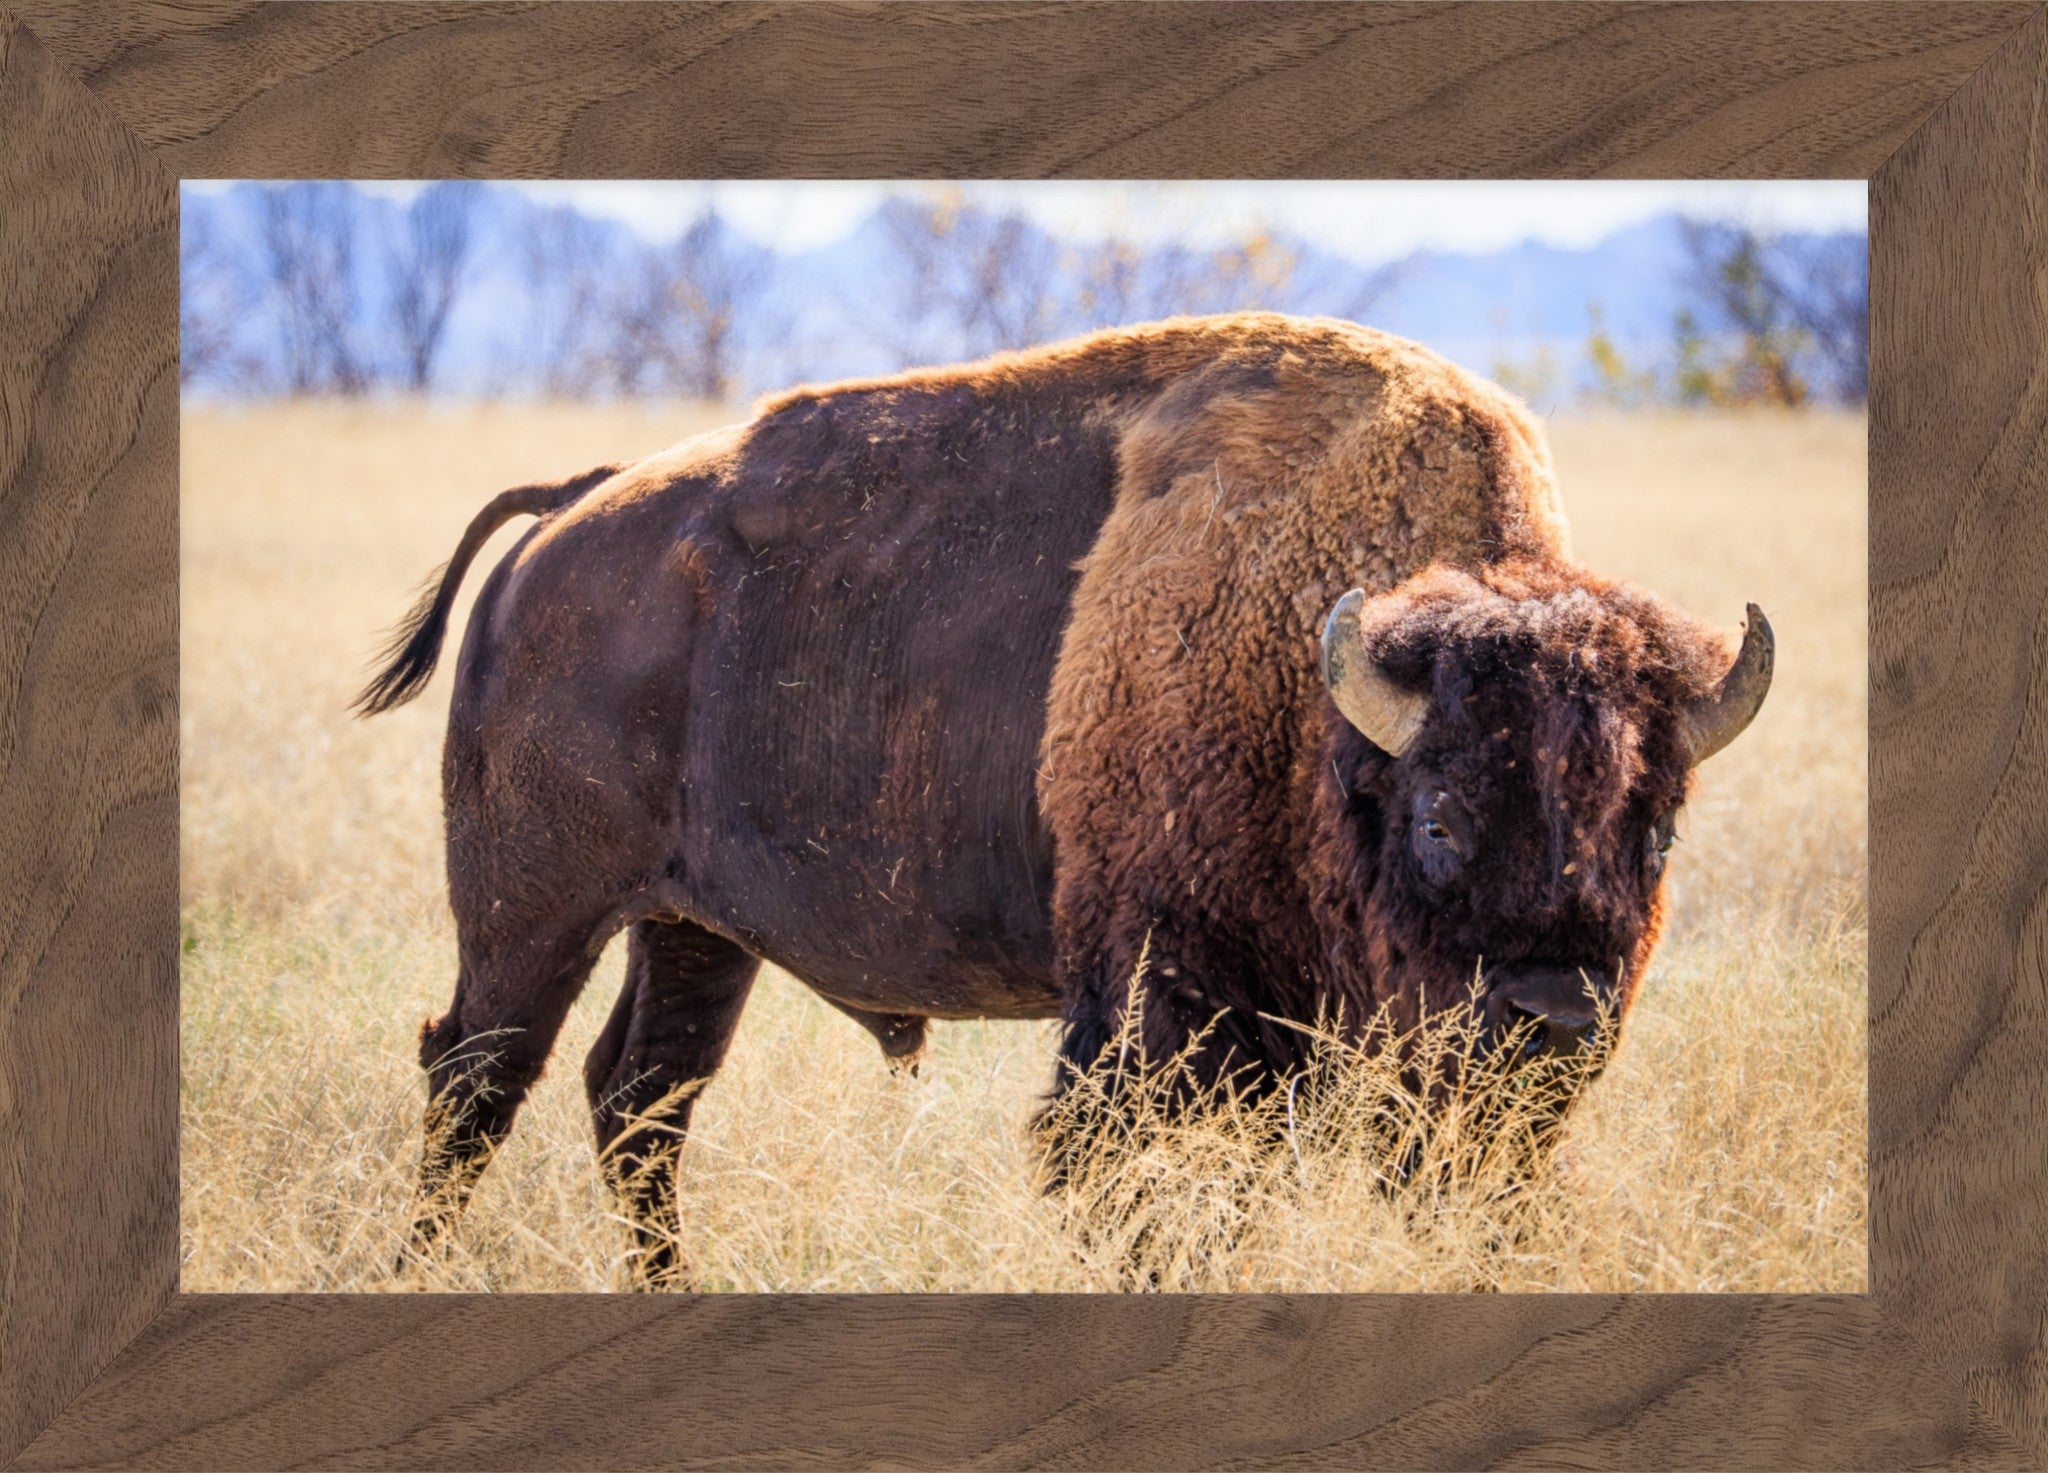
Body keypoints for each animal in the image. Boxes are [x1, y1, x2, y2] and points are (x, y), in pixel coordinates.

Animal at [359, 313, 1771, 1284]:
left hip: (693, 928)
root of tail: (570, 513)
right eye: (1437, 819)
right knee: (477, 1079)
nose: (1554, 1017)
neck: (1313, 692)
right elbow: (1140, 1186)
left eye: (1654, 831)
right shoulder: (1161, 1012)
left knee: (639, 1099)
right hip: (531, 911)